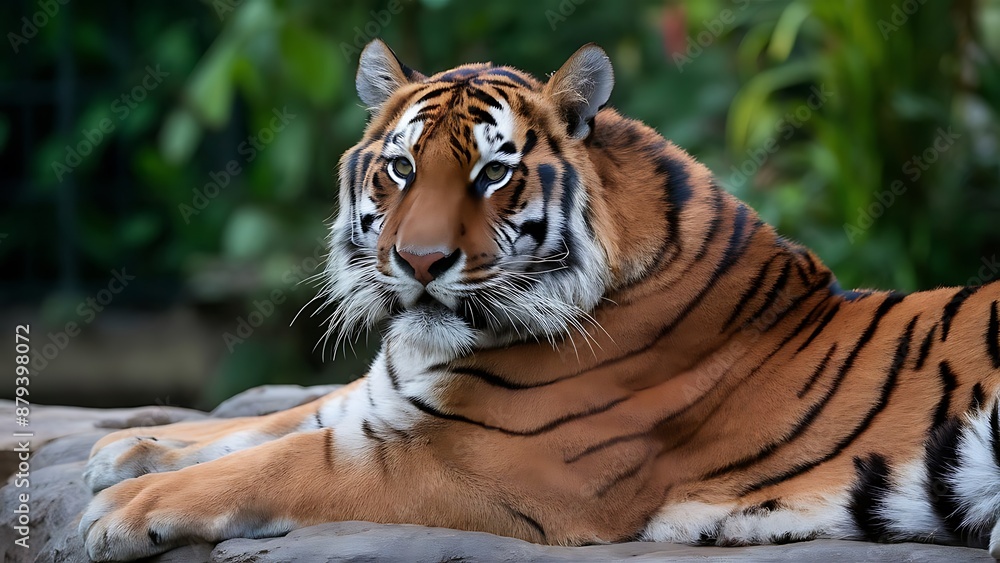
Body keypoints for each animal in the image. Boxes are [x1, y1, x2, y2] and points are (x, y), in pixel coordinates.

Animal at [78, 39, 1000, 561]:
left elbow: (282, 461)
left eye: (493, 172)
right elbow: (269, 421)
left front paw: (121, 509)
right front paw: (127, 447)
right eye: (401, 167)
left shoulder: (472, 463)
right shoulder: (388, 397)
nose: (419, 261)